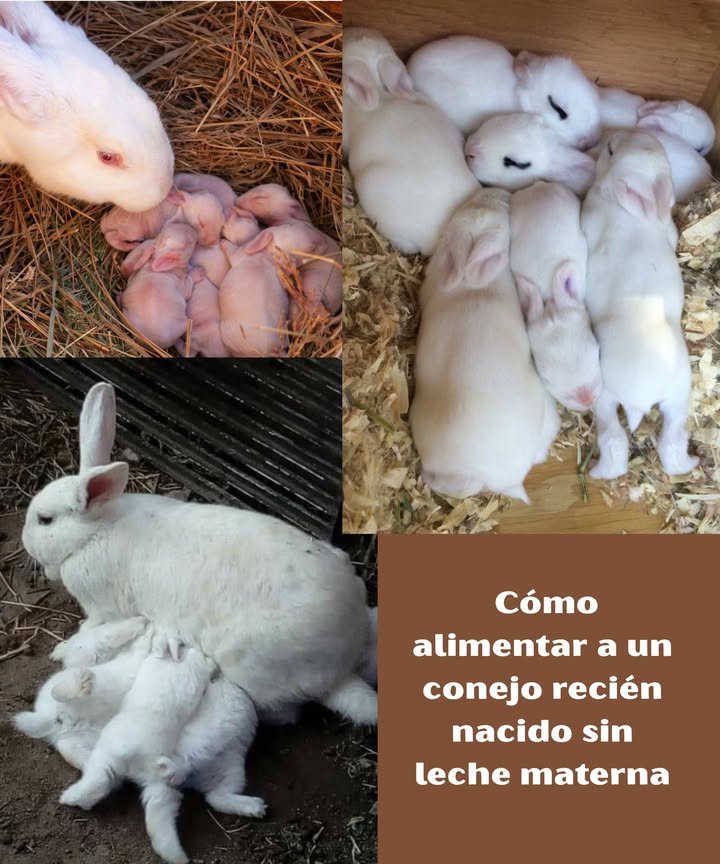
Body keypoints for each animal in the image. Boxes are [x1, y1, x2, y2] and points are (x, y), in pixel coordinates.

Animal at [21, 382, 377, 725]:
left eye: (45, 520)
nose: (24, 542)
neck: (92, 533)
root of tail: (339, 668)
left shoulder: (102, 609)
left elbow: (92, 629)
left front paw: (63, 647)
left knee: (282, 713)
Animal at [60, 643, 217, 864]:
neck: (180, 660)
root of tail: (134, 760)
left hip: (108, 759)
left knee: (97, 782)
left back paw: (70, 798)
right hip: (154, 782)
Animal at [581, 130, 699, 479]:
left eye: (609, 150)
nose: (615, 134)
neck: (630, 213)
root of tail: (640, 401)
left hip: (604, 396)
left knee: (614, 440)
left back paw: (597, 473)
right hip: (678, 395)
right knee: (671, 443)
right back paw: (690, 463)